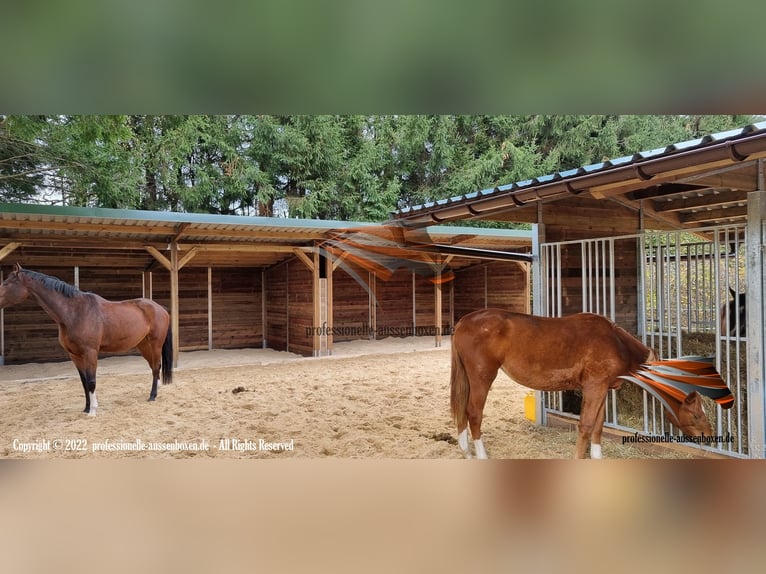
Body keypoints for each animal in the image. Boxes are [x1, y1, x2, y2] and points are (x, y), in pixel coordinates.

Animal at [0, 264, 173, 416]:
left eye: (7, 283)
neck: (75, 312)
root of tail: (160, 308)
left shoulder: (90, 353)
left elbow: (91, 381)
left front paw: (93, 411)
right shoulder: (75, 355)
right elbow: (84, 382)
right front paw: (86, 408)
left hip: (155, 344)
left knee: (156, 366)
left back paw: (152, 396)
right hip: (143, 345)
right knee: (153, 367)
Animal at [450, 309, 720, 459]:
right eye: (696, 413)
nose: (708, 435)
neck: (617, 343)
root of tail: (464, 321)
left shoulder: (602, 391)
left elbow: (598, 427)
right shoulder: (594, 388)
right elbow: (586, 426)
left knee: (462, 412)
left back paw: (465, 451)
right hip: (482, 377)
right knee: (473, 413)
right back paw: (481, 455)